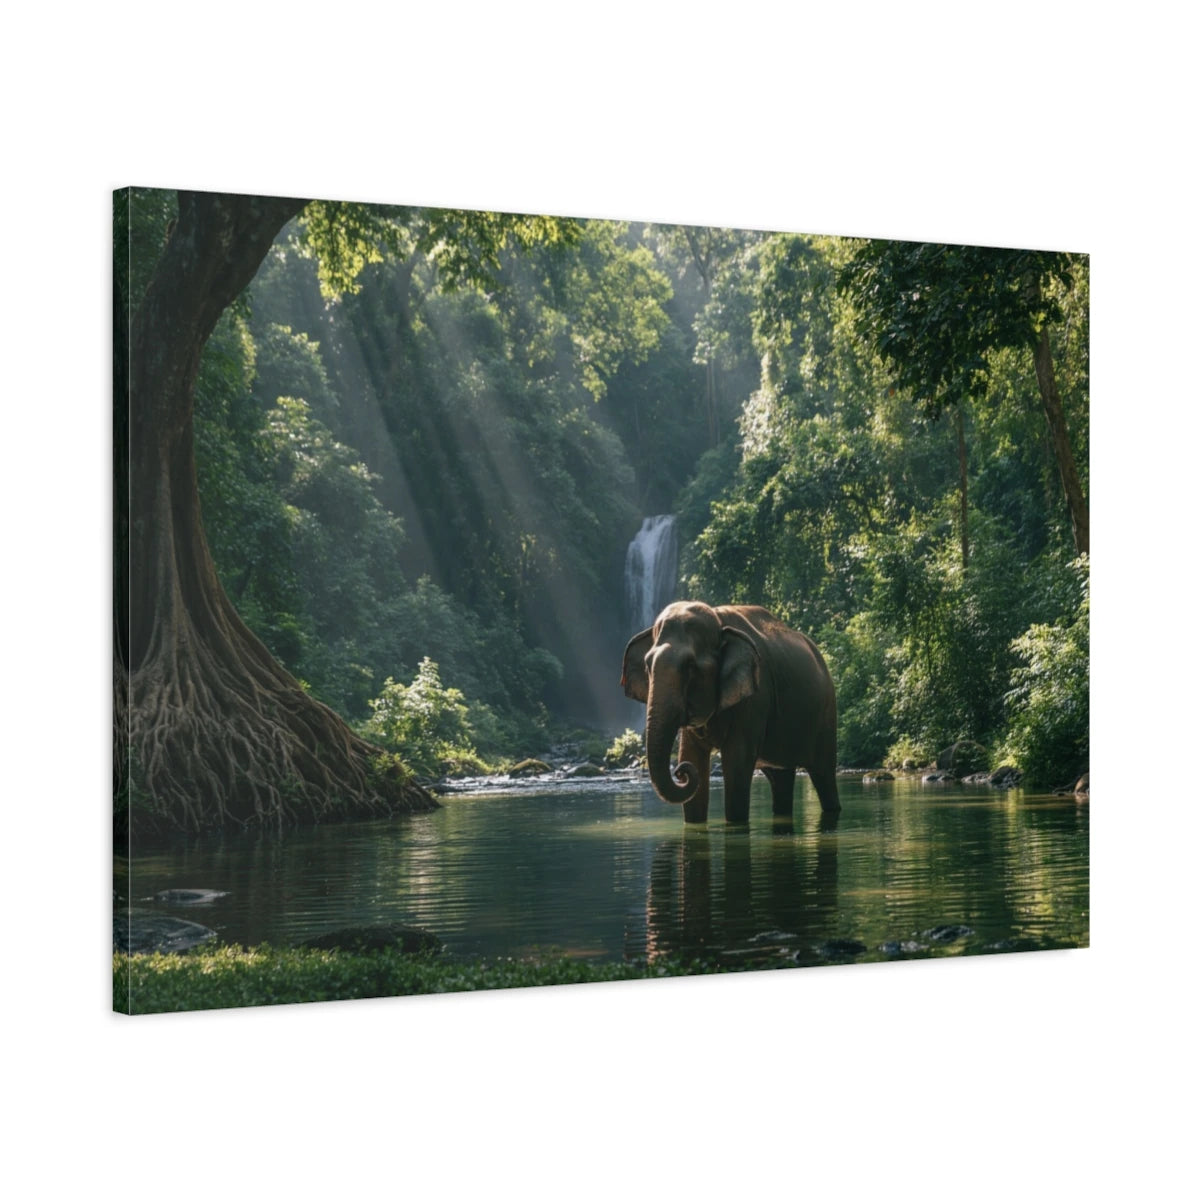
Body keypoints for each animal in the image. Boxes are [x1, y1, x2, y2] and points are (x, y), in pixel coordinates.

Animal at [621, 600, 839, 823]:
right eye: (647, 665)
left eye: (690, 666)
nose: (680, 772)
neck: (718, 619)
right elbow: (692, 755)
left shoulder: (756, 696)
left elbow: (737, 762)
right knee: (781, 780)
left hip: (827, 714)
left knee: (824, 774)